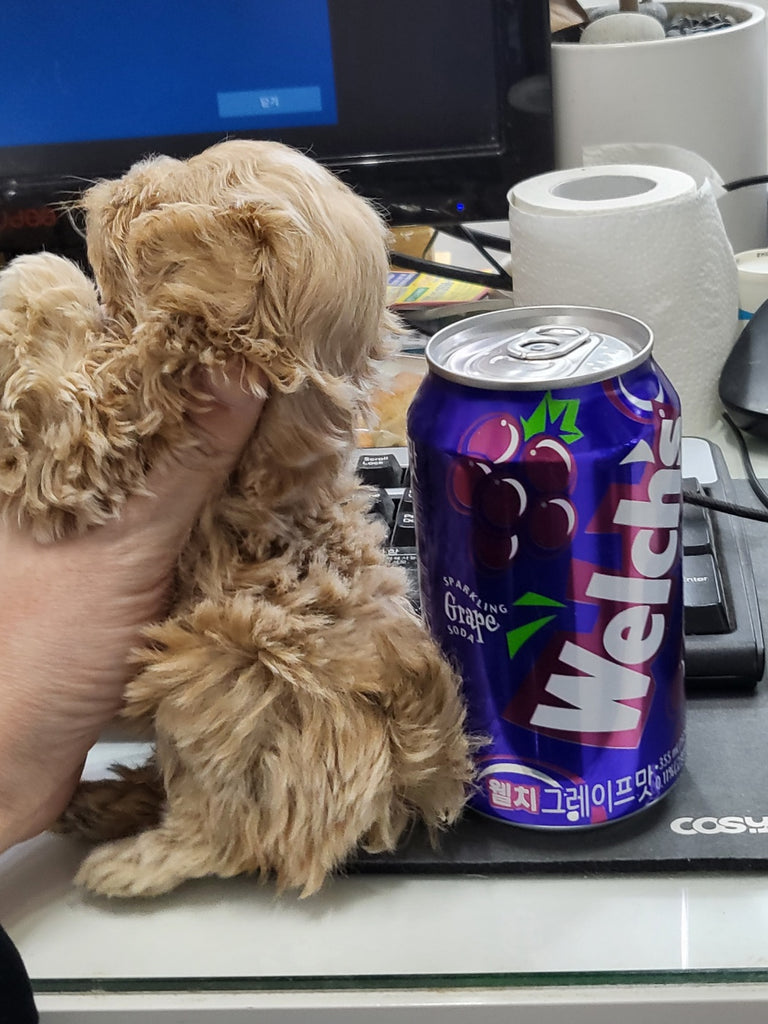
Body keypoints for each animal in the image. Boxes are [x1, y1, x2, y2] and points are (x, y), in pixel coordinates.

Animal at [0, 138, 475, 897]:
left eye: (151, 200)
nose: (114, 180)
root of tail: (415, 767)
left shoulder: (96, 448)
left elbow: (59, 387)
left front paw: (40, 277)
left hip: (221, 679)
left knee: (230, 830)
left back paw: (131, 859)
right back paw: (108, 800)